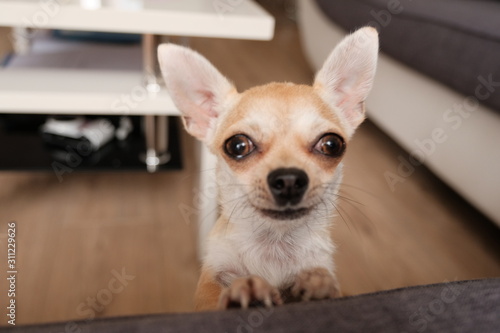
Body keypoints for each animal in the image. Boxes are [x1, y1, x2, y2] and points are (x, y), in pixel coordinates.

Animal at [158, 27, 376, 310]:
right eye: (238, 145)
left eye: (331, 144)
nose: (289, 179)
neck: (274, 246)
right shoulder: (210, 280)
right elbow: (214, 296)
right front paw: (244, 291)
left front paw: (318, 287)